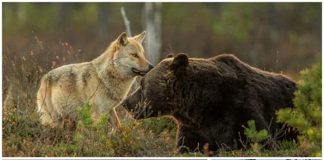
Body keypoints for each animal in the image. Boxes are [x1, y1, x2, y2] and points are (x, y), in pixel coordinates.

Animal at [121, 53, 296, 153]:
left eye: (142, 84)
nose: (125, 102)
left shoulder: (240, 108)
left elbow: (260, 140)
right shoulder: (194, 128)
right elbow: (186, 147)